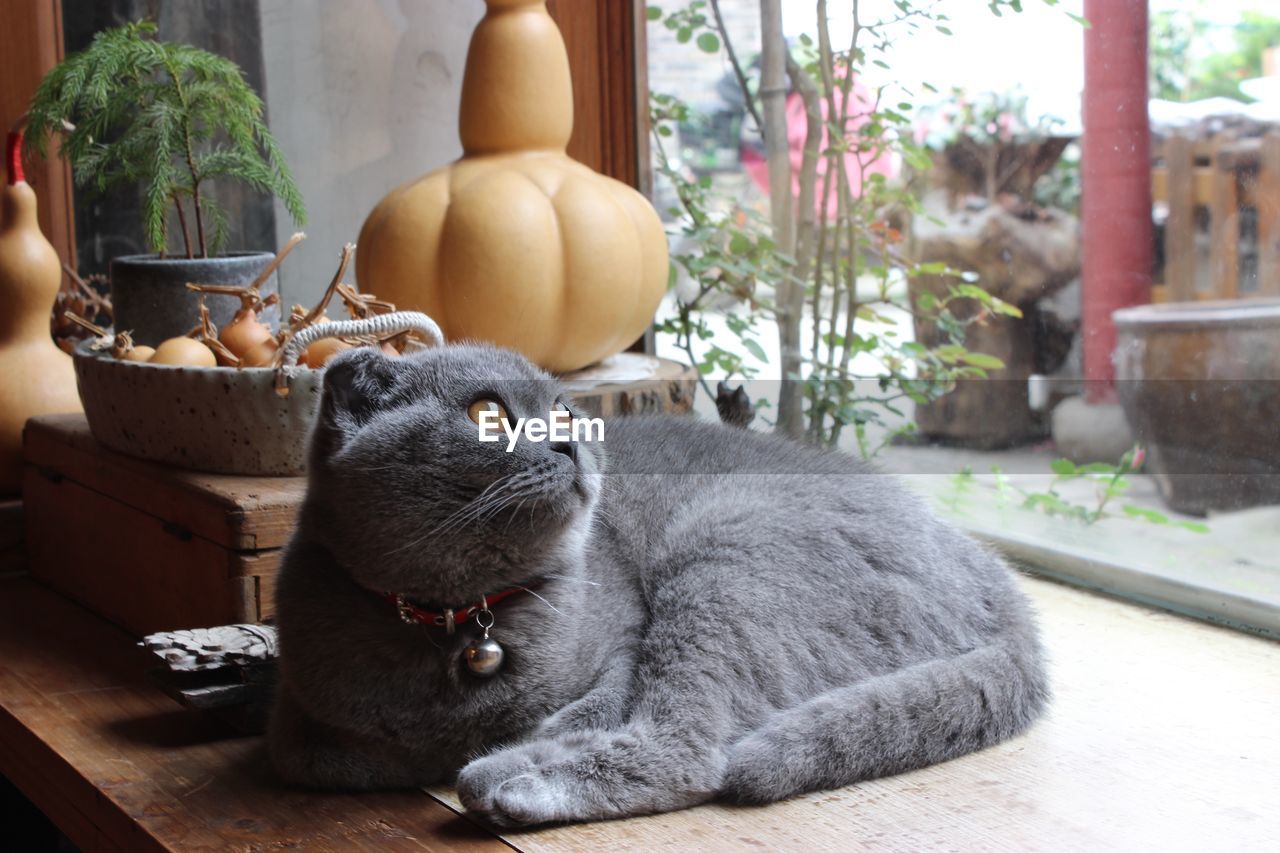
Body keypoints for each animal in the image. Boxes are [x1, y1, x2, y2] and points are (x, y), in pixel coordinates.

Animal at [270, 343, 1049, 824]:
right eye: (484, 413)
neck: (463, 619)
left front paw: (513, 743)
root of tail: (996, 576)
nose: (570, 440)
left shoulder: (625, 642)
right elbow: (332, 758)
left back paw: (505, 780)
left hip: (729, 545)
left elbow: (591, 706)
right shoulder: (301, 727)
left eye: (566, 411)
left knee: (693, 750)